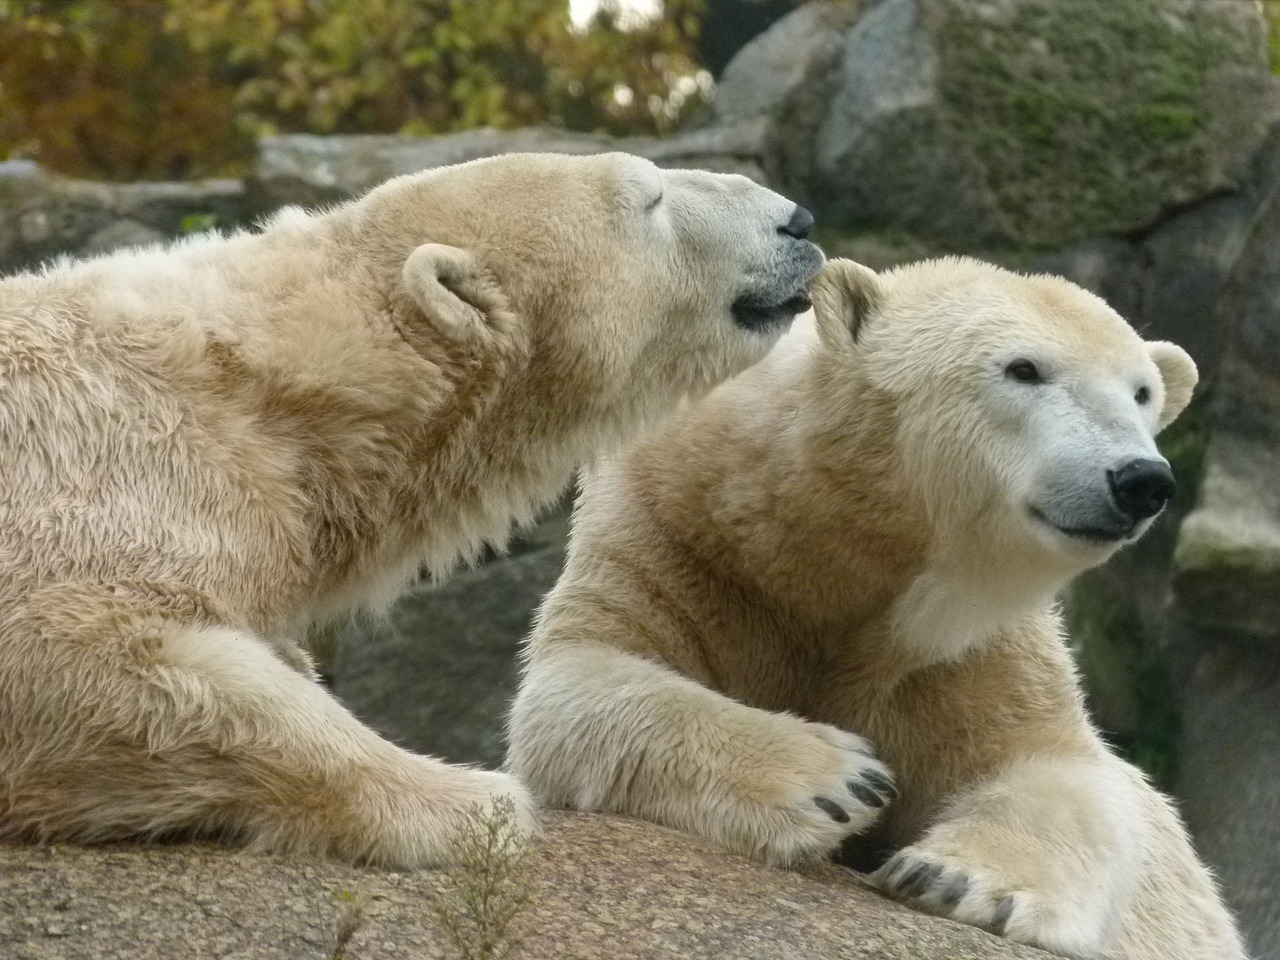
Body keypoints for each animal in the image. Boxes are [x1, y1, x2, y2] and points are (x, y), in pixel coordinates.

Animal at [504, 257, 1244, 960]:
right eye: (1024, 369)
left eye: (1143, 392)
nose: (1140, 478)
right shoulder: (674, 537)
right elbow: (582, 683)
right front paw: (841, 782)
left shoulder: (968, 645)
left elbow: (1060, 772)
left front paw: (952, 879)